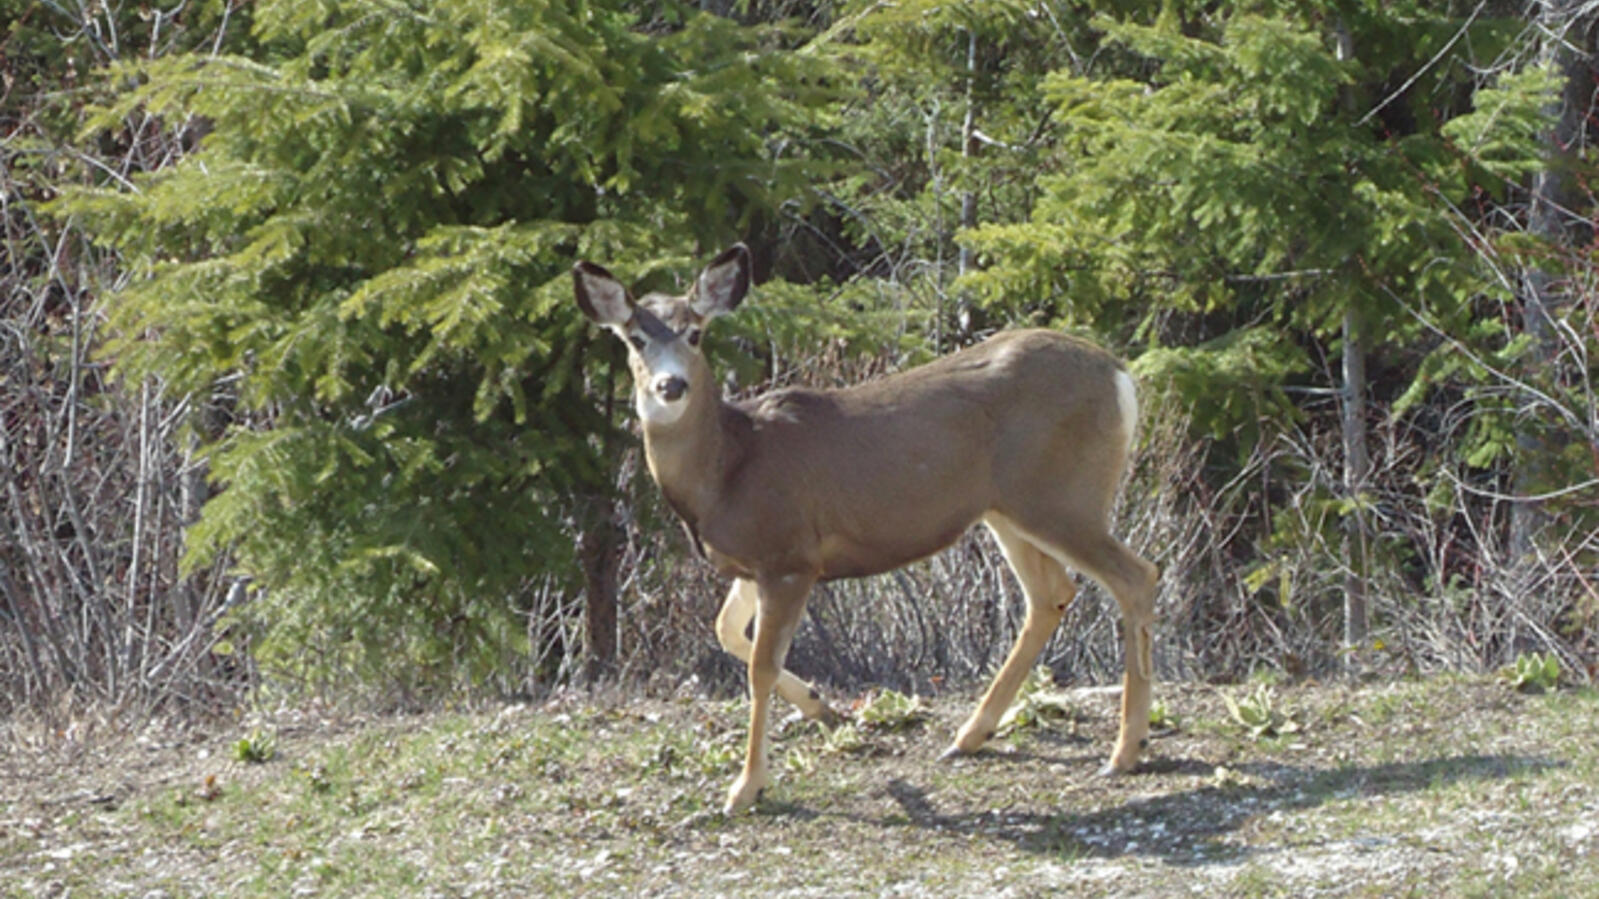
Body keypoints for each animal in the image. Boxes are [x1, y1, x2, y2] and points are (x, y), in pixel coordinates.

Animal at [573, 244, 1159, 815]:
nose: (671, 385)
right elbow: (726, 631)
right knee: (1051, 593)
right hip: (1008, 509)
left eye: (695, 332)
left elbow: (760, 666)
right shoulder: (754, 562)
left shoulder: (790, 556)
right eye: (635, 338)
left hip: (1062, 497)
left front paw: (746, 787)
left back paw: (1125, 751)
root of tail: (1122, 378)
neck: (727, 468)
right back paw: (971, 736)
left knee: (1136, 576)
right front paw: (823, 708)